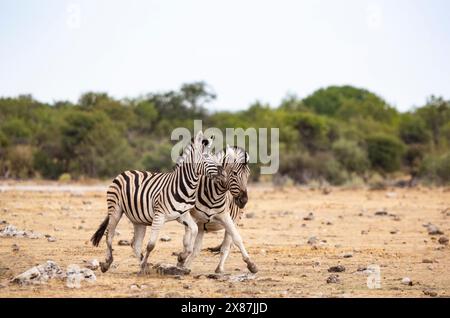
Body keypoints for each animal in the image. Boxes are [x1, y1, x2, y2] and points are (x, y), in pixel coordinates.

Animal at [90, 130, 221, 274]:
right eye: (206, 156)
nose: (222, 171)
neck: (185, 186)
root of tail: (125, 172)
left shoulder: (182, 215)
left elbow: (194, 231)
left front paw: (182, 257)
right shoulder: (159, 215)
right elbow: (151, 245)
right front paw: (144, 265)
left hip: (138, 219)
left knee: (135, 243)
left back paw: (144, 266)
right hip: (115, 209)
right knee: (109, 235)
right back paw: (107, 264)